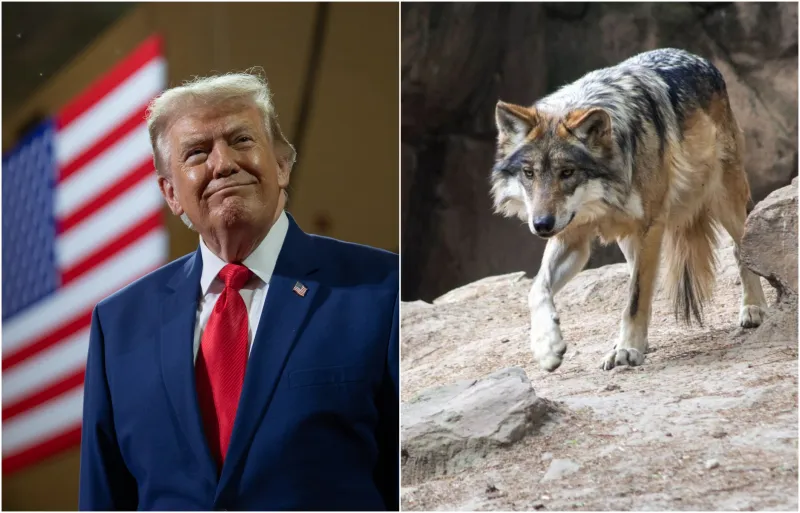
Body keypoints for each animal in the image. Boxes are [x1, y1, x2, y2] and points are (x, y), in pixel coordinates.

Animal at [490, 48, 768, 372]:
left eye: (567, 172)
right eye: (529, 173)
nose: (541, 224)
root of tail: (697, 57)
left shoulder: (650, 227)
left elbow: (635, 298)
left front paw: (626, 350)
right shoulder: (573, 237)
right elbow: (536, 290)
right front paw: (547, 347)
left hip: (724, 201)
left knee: (740, 247)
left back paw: (753, 308)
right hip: (628, 240)